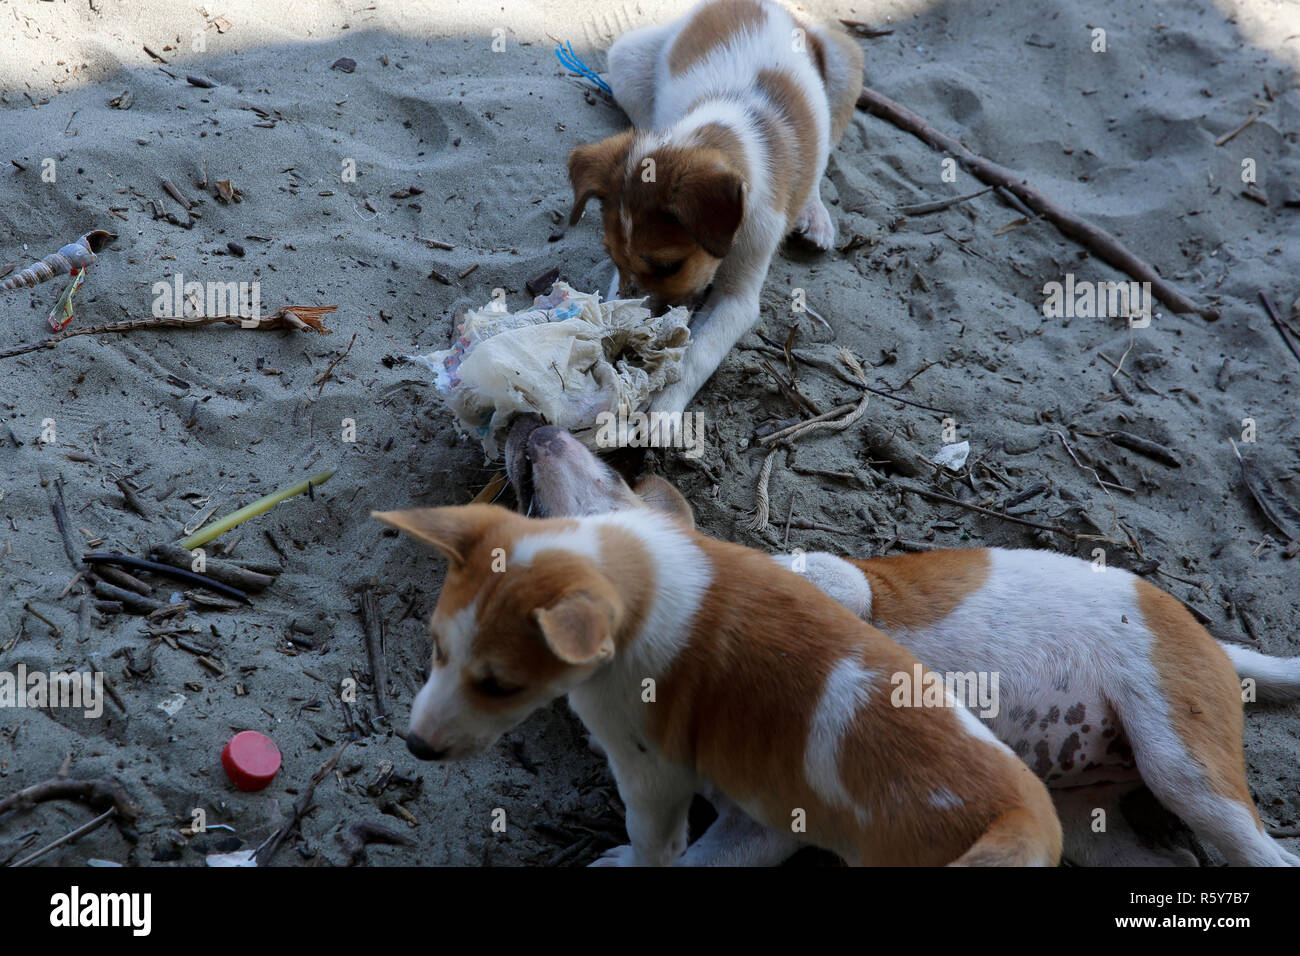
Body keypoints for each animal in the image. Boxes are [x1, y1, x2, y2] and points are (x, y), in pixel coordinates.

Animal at [374, 504, 1055, 868]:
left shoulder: (653, 777)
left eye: (500, 687)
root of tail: (1021, 816)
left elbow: (650, 843)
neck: (642, 583)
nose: (415, 748)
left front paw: (624, 861)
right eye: (435, 647)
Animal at [501, 418, 1300, 868]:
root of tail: (1214, 643)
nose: (524, 425)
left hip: (1180, 759)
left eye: (613, 475)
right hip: (1086, 826)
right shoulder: (756, 827)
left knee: (1263, 850)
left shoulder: (836, 584)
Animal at [566, 1, 863, 416]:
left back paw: (813, 214)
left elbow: (697, 355)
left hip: (845, 63)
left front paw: (662, 411)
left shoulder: (738, 298)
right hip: (627, 59)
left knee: (824, 155)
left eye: (669, 266)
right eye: (611, 257)